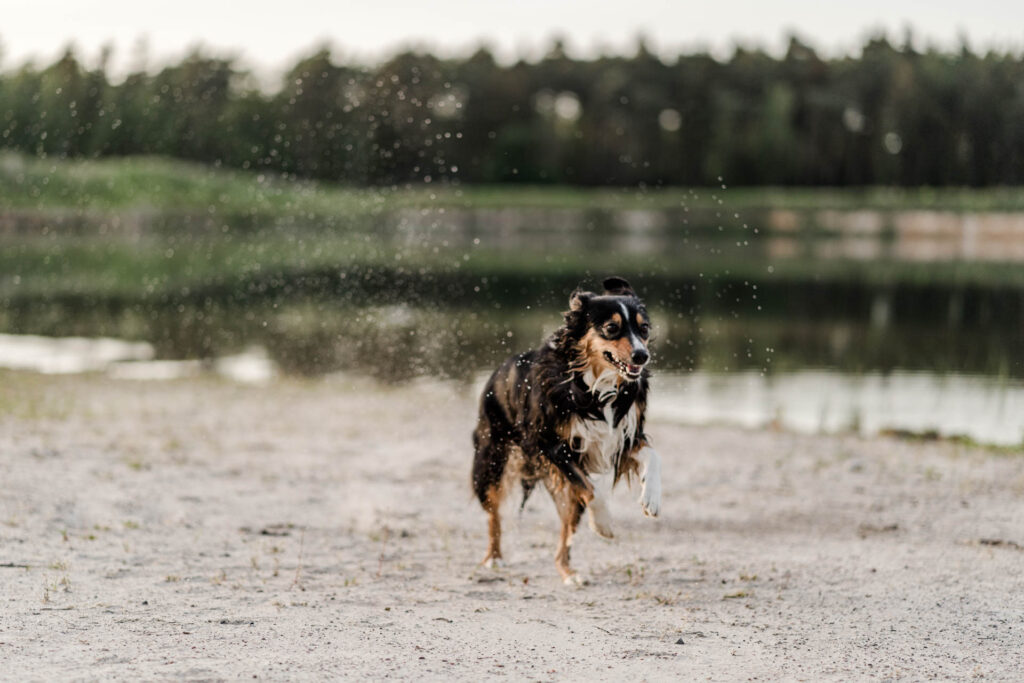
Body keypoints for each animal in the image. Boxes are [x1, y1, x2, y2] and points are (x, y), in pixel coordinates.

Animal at [468, 274, 659, 585]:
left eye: (643, 329)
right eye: (611, 328)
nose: (642, 356)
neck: (595, 385)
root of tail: (497, 372)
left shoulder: (622, 436)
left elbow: (653, 456)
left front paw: (652, 497)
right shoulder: (551, 445)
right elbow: (592, 489)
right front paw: (604, 524)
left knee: (566, 529)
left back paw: (569, 573)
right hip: (492, 460)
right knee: (493, 513)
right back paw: (494, 557)